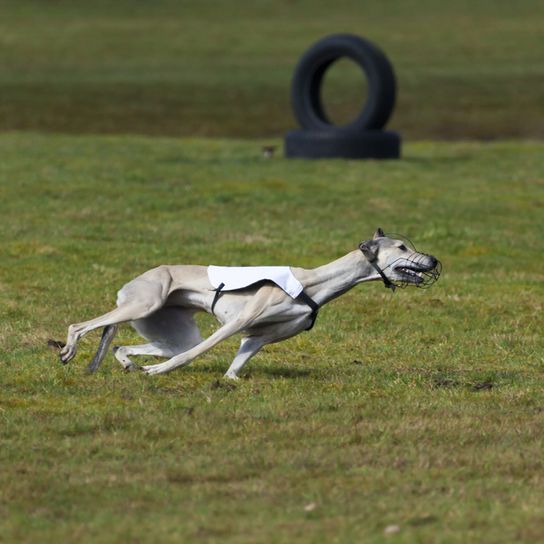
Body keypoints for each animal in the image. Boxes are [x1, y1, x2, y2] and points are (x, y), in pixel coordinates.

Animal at [58, 228, 442, 378]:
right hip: (144, 304)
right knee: (81, 325)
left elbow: (233, 370)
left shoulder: (257, 337)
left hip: (170, 328)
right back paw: (70, 349)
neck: (314, 283)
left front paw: (230, 380)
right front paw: (159, 373)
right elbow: (192, 356)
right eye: (402, 247)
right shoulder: (237, 324)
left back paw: (127, 362)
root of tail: (132, 283)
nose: (435, 260)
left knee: (123, 344)